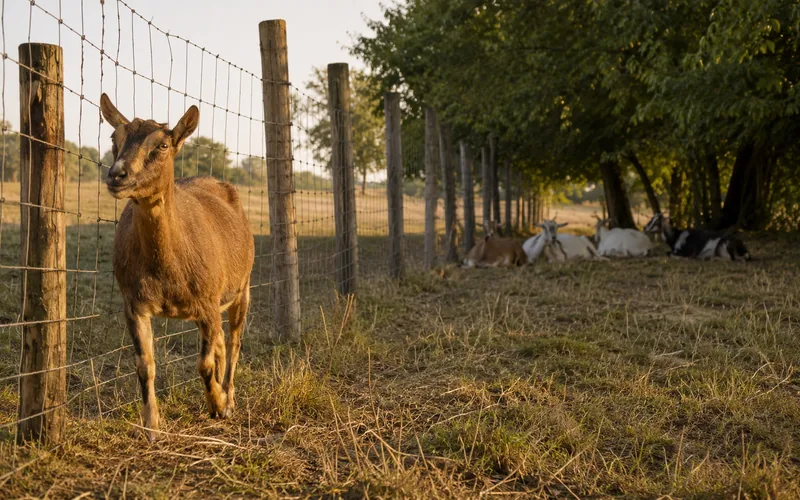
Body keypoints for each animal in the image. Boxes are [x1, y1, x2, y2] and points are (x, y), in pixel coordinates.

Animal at [100, 94, 255, 441]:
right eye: (114, 139)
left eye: (162, 145)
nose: (117, 175)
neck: (166, 269)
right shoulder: (134, 303)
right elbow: (144, 364)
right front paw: (152, 427)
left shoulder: (209, 300)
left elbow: (204, 363)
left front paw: (218, 405)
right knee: (221, 341)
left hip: (242, 287)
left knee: (234, 340)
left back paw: (229, 396)